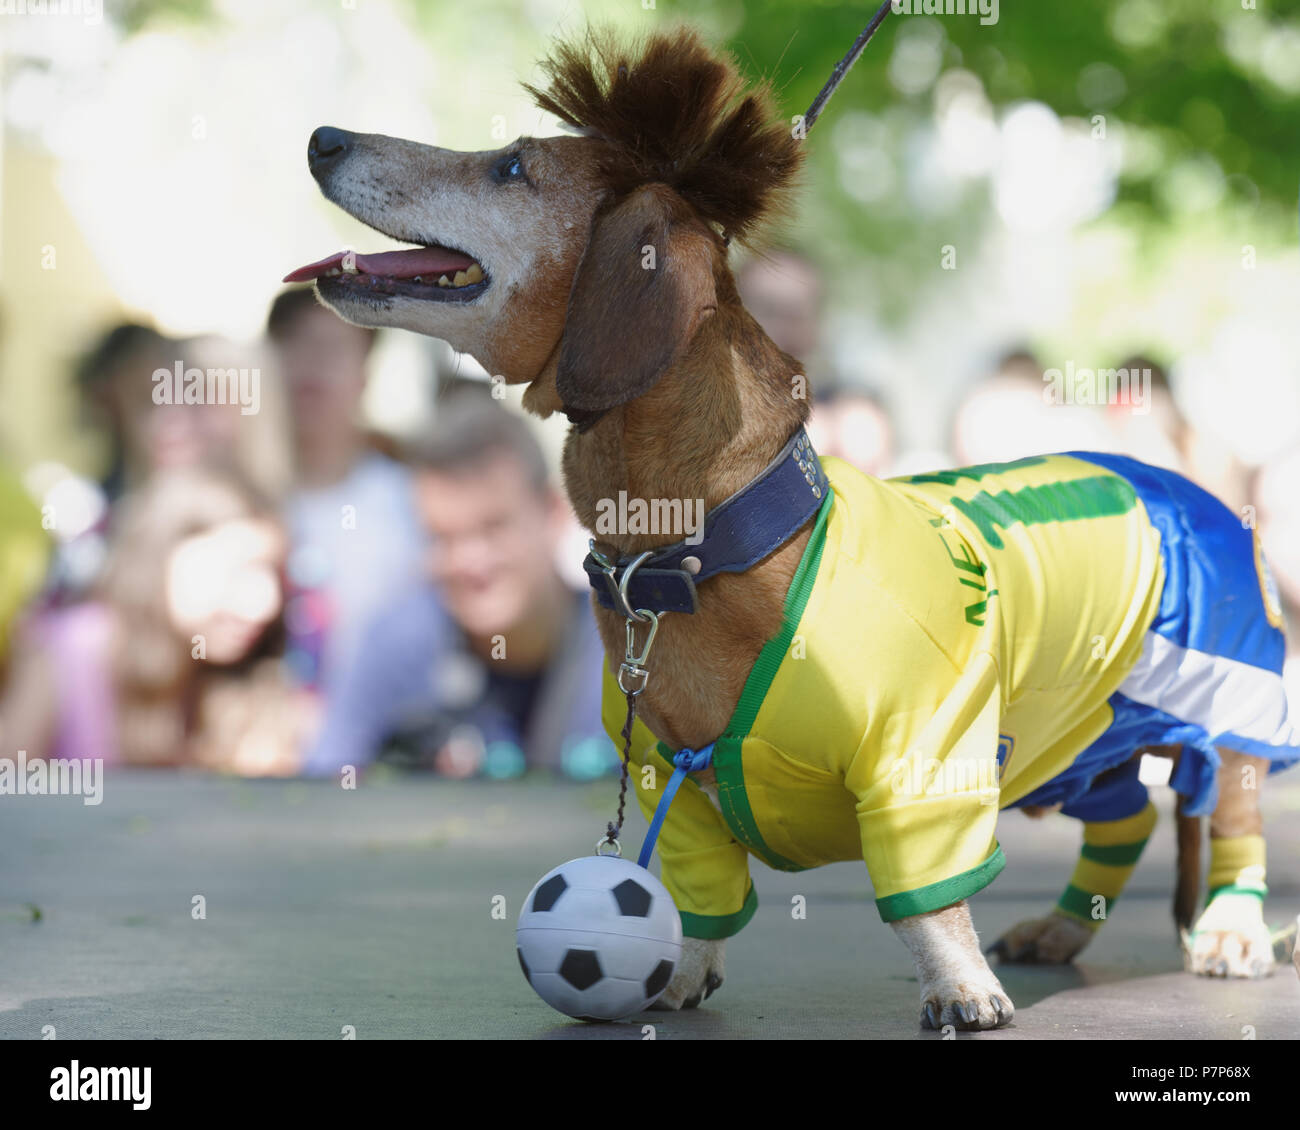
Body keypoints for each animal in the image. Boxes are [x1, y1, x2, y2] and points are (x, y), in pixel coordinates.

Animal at [289, 28, 1294, 1029]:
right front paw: (683, 970)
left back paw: (1232, 932)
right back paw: (1062, 927)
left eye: (510, 166)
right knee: (1128, 816)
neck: (709, 549)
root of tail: (1178, 485)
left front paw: (958, 984)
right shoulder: (673, 779)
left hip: (1232, 709)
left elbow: (928, 902)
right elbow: (702, 893)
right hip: (1079, 744)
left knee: (1233, 825)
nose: (323, 139)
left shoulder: (922, 764)